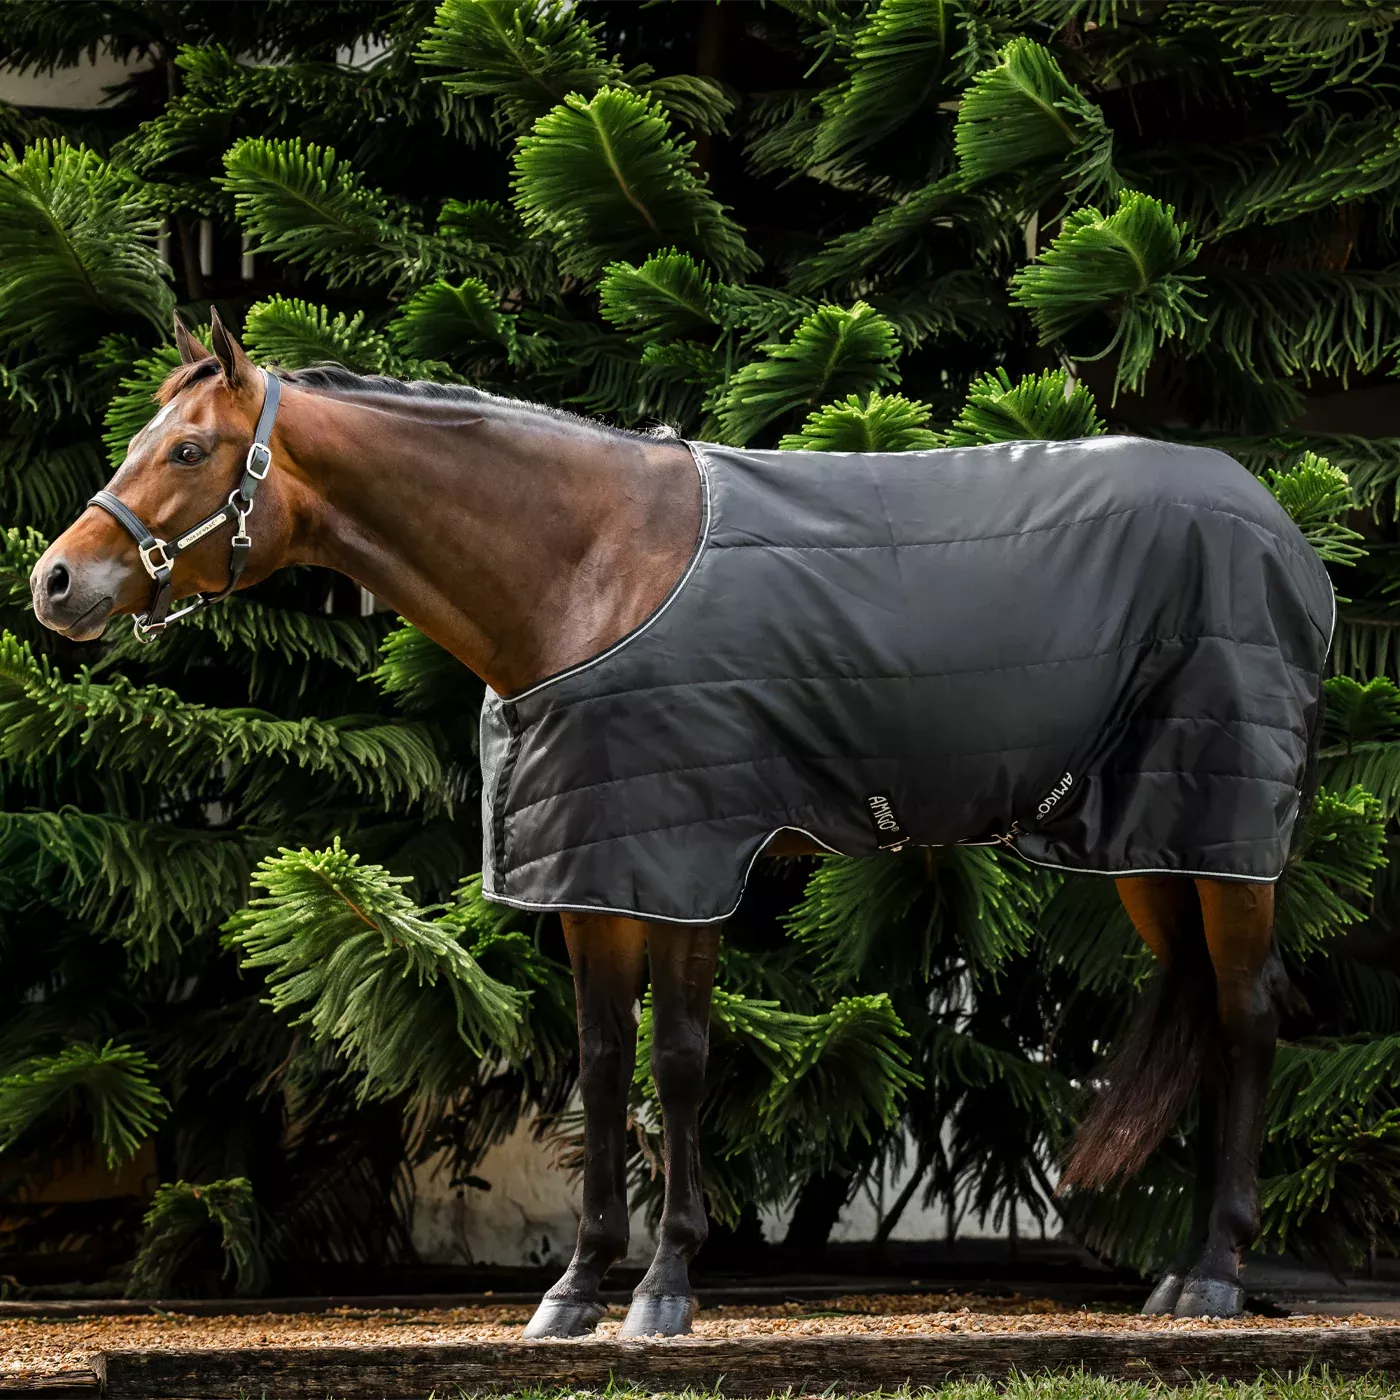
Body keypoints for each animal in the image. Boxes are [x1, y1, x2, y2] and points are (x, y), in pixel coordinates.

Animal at [32, 311, 1331, 1333]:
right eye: (139, 441)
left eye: (189, 448)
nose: (55, 582)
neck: (588, 569)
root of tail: (1283, 533)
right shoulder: (595, 870)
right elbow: (604, 1065)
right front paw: (576, 1285)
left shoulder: (688, 858)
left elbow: (681, 1060)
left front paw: (663, 1287)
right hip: (1155, 845)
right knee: (1207, 1010)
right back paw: (1182, 1271)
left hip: (1225, 837)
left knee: (1249, 1011)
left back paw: (1212, 1275)